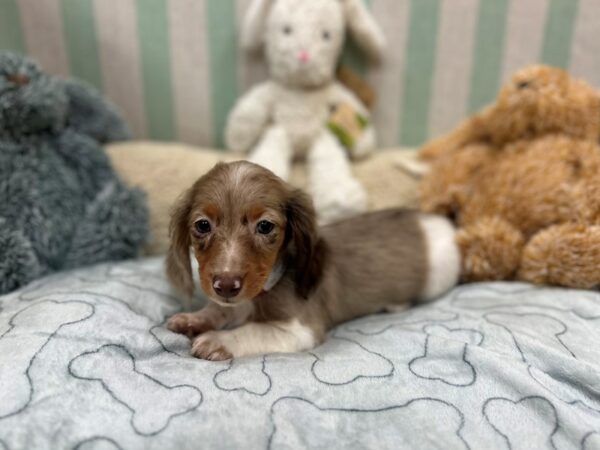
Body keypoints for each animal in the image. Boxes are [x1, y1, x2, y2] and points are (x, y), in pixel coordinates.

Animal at [164, 160, 460, 360]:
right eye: (202, 225)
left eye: (265, 226)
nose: (226, 285)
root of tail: (442, 222)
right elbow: (219, 309)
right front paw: (195, 319)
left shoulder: (300, 330)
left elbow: (252, 330)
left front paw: (218, 340)